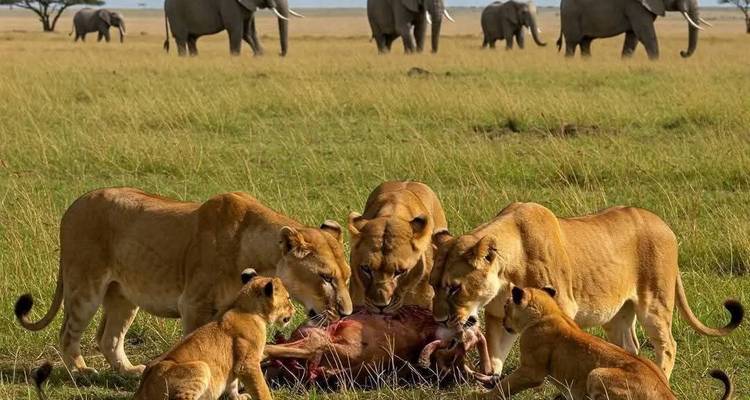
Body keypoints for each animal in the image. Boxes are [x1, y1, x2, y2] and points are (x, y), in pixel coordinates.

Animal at [14, 187, 352, 376]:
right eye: (325, 277)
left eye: (347, 277)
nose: (347, 313)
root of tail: (74, 204)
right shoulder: (194, 304)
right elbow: (198, 346)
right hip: (85, 287)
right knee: (68, 332)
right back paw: (82, 372)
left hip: (124, 296)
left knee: (108, 338)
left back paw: (128, 371)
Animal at [430, 202, 743, 379]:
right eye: (433, 284)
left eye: (454, 288)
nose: (439, 320)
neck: (506, 273)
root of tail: (663, 224)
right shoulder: (499, 317)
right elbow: (495, 354)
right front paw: (489, 378)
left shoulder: (561, 307)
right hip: (617, 315)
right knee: (630, 346)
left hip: (654, 303)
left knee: (668, 346)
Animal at [483, 286, 733, 400]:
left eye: (506, 306)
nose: (503, 321)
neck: (549, 311)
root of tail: (666, 392)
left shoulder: (531, 371)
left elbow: (503, 386)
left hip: (597, 374)